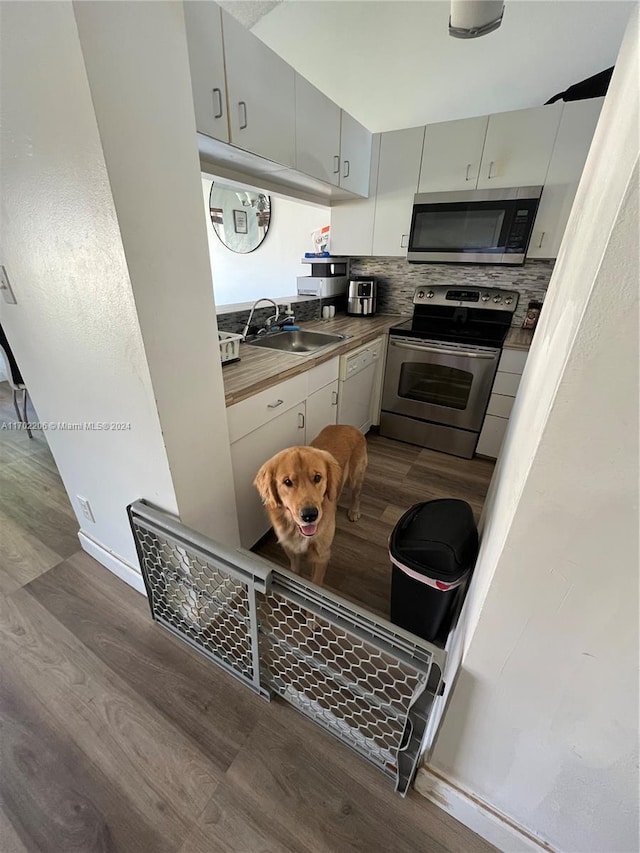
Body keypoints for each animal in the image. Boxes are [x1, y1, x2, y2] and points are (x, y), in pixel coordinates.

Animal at [254, 424, 368, 584]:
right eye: (287, 482)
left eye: (317, 477)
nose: (310, 515)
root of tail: (348, 425)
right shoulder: (292, 552)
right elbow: (295, 574)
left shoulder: (322, 555)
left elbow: (315, 584)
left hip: (356, 476)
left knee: (357, 494)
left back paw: (354, 511)